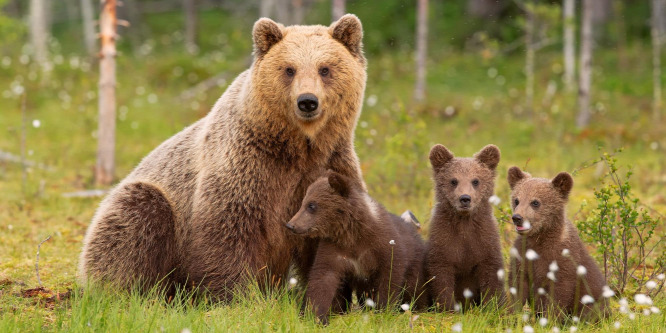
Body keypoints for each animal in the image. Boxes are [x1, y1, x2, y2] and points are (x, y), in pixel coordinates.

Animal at [80, 14, 368, 300]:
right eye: (289, 69)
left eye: (325, 68)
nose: (307, 101)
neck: (299, 147)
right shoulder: (247, 164)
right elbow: (228, 228)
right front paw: (234, 295)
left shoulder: (330, 165)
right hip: (147, 207)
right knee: (135, 220)